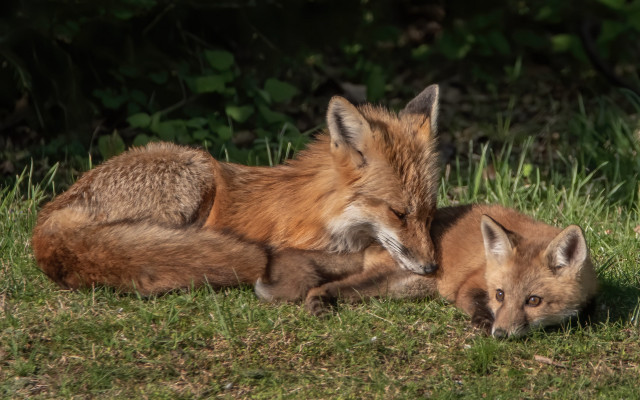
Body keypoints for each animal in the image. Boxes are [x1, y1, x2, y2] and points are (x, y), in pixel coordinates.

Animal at [32, 85, 442, 295]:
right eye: (398, 213)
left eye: (429, 213)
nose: (432, 266)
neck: (325, 215)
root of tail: (47, 223)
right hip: (193, 171)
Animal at [256, 204, 599, 338]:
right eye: (500, 295)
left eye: (533, 301)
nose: (499, 334)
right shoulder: (469, 284)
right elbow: (473, 302)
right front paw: (482, 321)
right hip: (384, 281)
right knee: (320, 286)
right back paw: (316, 300)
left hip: (395, 289)